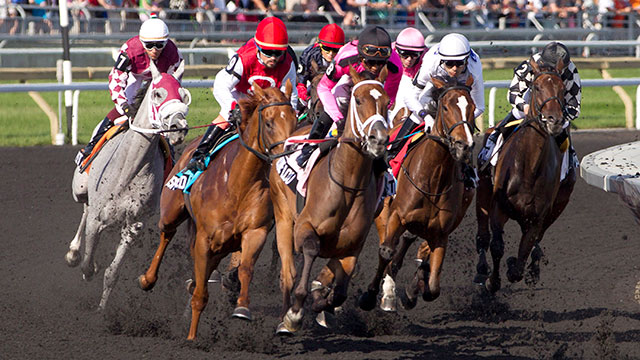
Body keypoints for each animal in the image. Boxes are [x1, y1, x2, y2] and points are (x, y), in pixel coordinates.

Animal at [65, 62, 190, 310]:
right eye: (158, 93)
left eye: (183, 96)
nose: (178, 127)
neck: (129, 169)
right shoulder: (97, 218)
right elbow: (88, 261)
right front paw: (86, 265)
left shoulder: (134, 226)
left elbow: (112, 273)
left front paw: (102, 311)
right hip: (80, 188)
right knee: (84, 208)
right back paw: (73, 252)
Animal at [138, 80, 298, 338]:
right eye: (269, 122)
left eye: (294, 120)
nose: (288, 155)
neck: (237, 184)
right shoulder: (205, 238)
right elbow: (200, 296)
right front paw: (191, 338)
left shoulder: (254, 231)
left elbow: (245, 269)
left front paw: (242, 308)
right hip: (172, 212)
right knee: (167, 234)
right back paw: (147, 279)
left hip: (221, 245)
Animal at [270, 66, 390, 334]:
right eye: (358, 100)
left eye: (387, 102)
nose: (378, 140)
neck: (348, 184)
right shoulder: (304, 227)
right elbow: (311, 249)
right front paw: (295, 314)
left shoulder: (353, 245)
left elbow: (340, 291)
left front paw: (321, 304)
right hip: (283, 216)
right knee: (287, 273)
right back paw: (283, 316)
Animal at [358, 74, 478, 310]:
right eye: (446, 107)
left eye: (472, 107)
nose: (463, 146)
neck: (433, 179)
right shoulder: (396, 215)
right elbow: (386, 251)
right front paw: (369, 296)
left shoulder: (441, 233)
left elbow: (433, 287)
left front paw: (412, 292)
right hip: (383, 211)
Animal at [472, 57, 576, 292]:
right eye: (536, 87)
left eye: (562, 88)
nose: (554, 120)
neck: (529, 167)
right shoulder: (499, 207)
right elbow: (497, 245)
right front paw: (492, 281)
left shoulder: (537, 217)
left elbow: (523, 253)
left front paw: (515, 267)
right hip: (483, 188)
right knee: (483, 236)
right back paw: (481, 270)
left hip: (558, 205)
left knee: (536, 242)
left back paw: (533, 268)